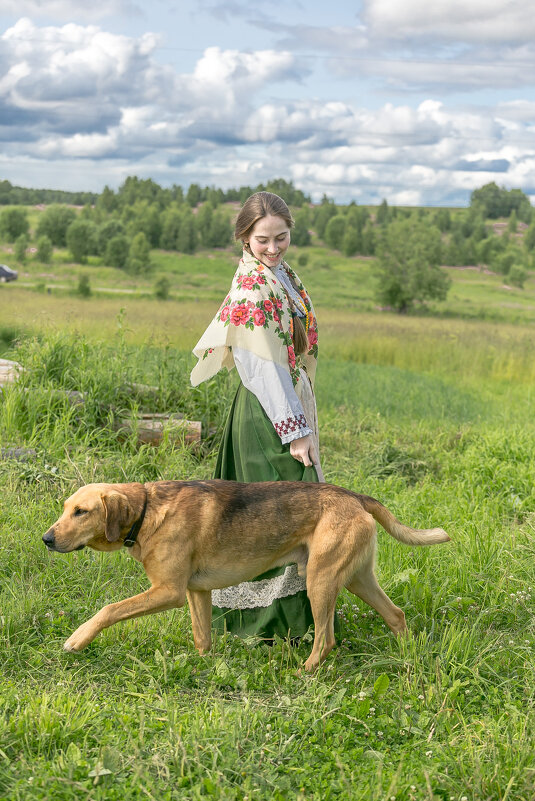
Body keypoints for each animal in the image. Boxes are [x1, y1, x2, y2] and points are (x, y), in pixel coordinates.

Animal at [44, 478, 450, 672]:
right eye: (65, 508)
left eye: (81, 512)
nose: (47, 539)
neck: (146, 511)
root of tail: (355, 497)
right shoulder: (196, 592)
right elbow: (202, 639)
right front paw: (203, 667)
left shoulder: (168, 591)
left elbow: (108, 610)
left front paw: (77, 639)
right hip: (356, 579)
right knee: (396, 615)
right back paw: (409, 656)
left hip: (321, 582)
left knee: (326, 640)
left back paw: (303, 673)